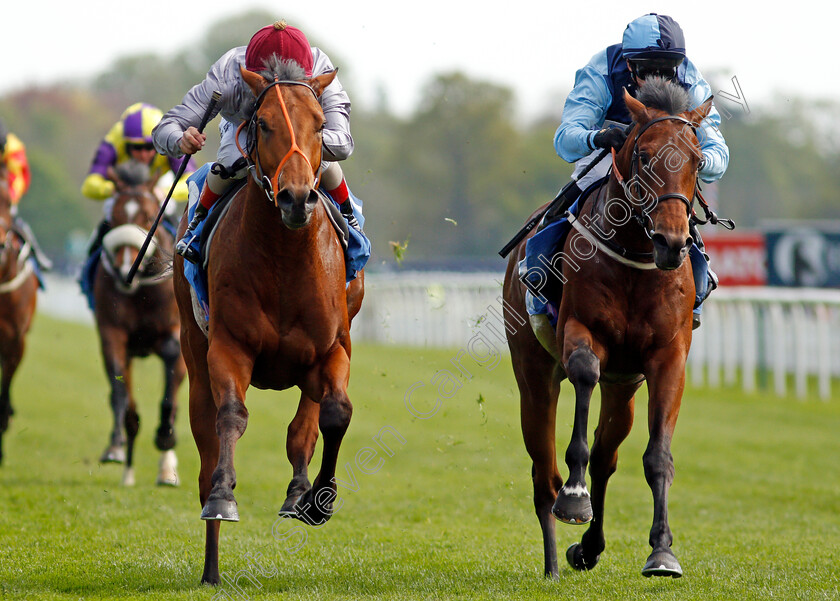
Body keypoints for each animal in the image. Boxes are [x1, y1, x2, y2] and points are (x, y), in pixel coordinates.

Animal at [95, 162, 187, 486]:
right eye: (114, 217)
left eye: (149, 216)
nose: (124, 269)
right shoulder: (113, 333)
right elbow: (119, 390)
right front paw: (114, 447)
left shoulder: (178, 332)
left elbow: (171, 393)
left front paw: (165, 436)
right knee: (131, 414)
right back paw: (128, 472)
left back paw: (167, 470)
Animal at [172, 57, 362, 584]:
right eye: (263, 124)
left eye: (318, 124)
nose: (296, 198)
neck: (284, 255)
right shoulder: (229, 346)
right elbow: (231, 417)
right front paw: (223, 497)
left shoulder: (334, 347)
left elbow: (335, 414)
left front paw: (318, 500)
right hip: (193, 355)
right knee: (206, 442)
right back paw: (211, 565)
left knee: (306, 424)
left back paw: (298, 492)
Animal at [502, 82, 712, 580]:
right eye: (646, 156)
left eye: (697, 159)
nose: (672, 243)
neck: (637, 257)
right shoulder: (582, 329)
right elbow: (583, 373)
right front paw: (575, 499)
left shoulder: (667, 357)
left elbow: (656, 456)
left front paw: (662, 551)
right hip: (533, 376)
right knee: (544, 473)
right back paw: (554, 561)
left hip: (624, 388)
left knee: (605, 457)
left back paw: (589, 547)